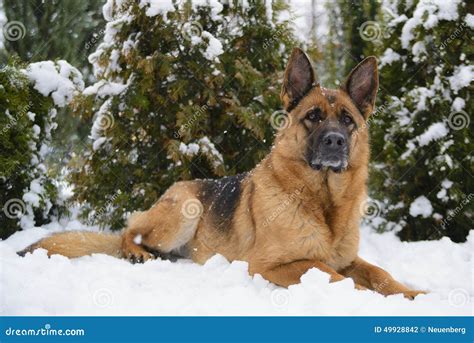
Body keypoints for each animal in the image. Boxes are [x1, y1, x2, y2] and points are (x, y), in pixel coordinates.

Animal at [19, 49, 426, 300]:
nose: (335, 141)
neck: (322, 201)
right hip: (184, 211)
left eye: (347, 120)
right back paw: (137, 253)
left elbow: (379, 273)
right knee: (128, 230)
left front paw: (411, 293)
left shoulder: (349, 259)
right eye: (313, 116)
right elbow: (329, 273)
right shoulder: (272, 265)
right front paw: (362, 297)